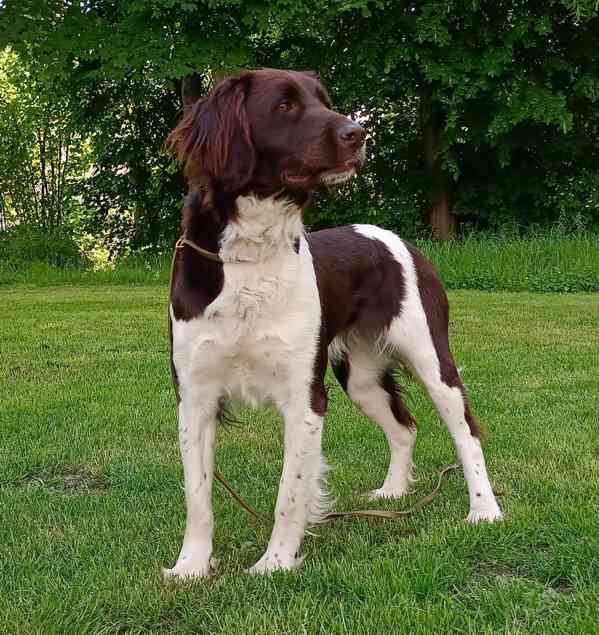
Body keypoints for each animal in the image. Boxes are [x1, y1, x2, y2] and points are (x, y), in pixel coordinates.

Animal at [163, 69, 502, 580]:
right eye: (284, 105)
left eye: (325, 100)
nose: (358, 134)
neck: (250, 256)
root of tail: (400, 240)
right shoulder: (195, 397)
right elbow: (198, 496)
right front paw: (191, 567)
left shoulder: (304, 398)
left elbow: (289, 492)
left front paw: (275, 563)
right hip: (360, 376)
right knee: (404, 427)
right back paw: (393, 492)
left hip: (433, 360)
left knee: (467, 433)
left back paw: (484, 510)